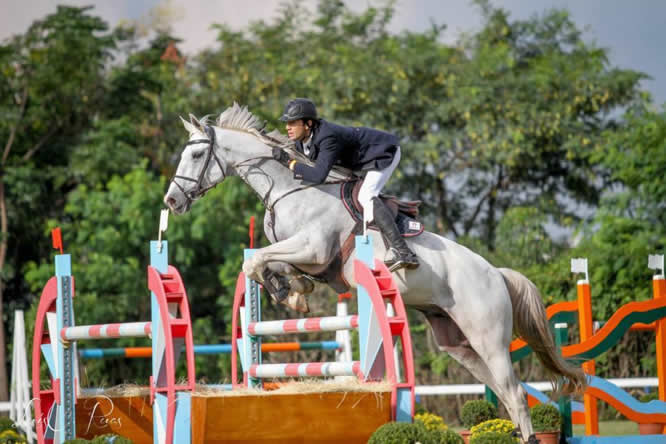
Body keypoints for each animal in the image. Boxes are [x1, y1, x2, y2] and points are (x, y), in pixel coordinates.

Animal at [163, 103, 584, 440]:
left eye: (197, 153)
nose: (172, 201)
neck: (289, 189)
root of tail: (496, 273)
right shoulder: (306, 256)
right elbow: (265, 262)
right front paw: (294, 291)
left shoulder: (315, 248)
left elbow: (256, 260)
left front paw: (290, 294)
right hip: (458, 342)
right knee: (504, 390)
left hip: (488, 335)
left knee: (514, 391)